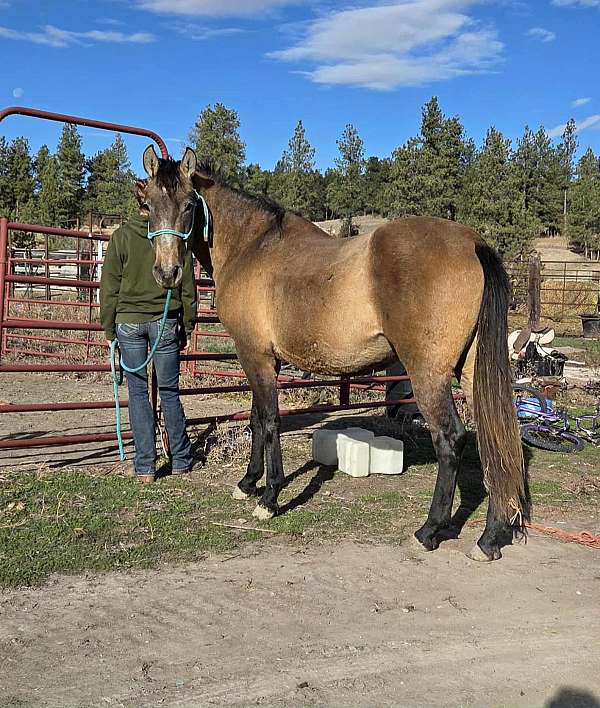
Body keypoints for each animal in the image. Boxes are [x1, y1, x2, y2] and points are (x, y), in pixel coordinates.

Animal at [137, 144, 530, 562]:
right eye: (147, 204)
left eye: (188, 205)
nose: (166, 272)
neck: (252, 247)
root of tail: (473, 242)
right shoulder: (262, 359)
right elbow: (258, 419)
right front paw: (247, 483)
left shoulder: (255, 355)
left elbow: (269, 421)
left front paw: (269, 497)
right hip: (472, 373)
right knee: (495, 437)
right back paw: (490, 538)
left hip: (428, 375)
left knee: (451, 439)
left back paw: (429, 531)